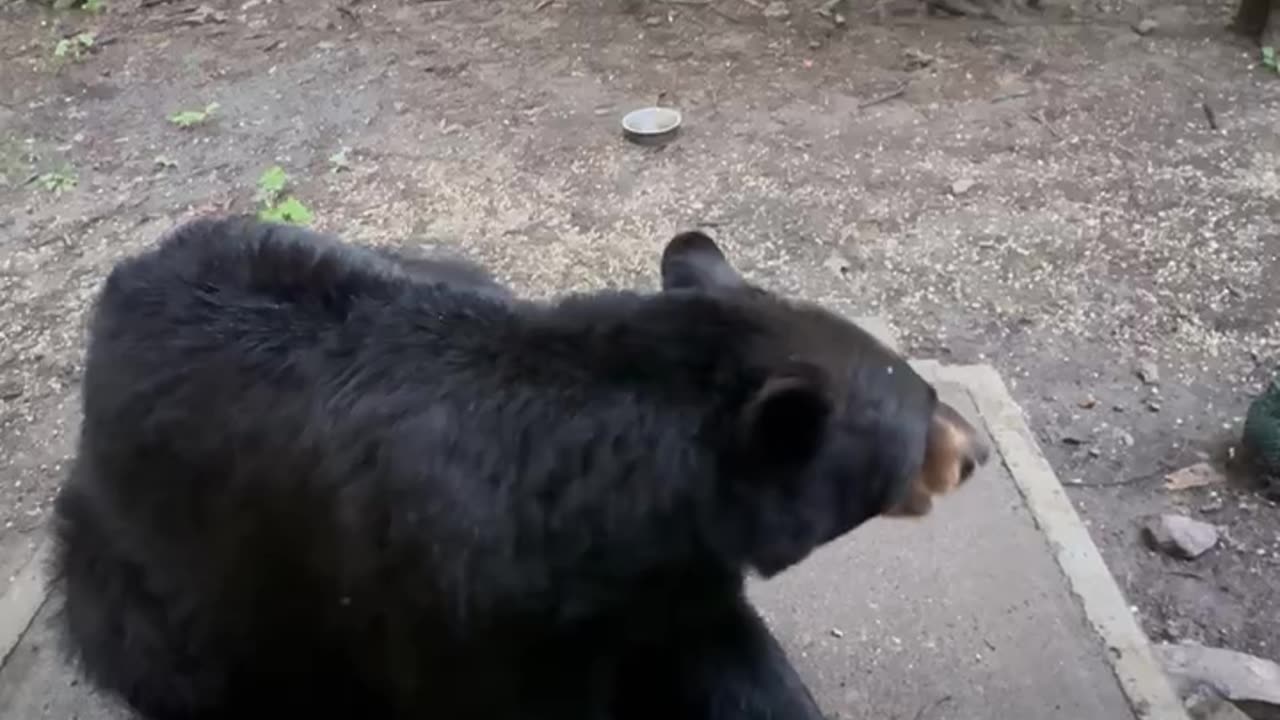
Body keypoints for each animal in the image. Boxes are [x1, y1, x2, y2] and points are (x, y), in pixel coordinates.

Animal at [52, 217, 988, 717]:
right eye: (923, 409)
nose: (976, 450)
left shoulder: (665, 583)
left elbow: (727, 657)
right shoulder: (451, 602)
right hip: (165, 567)